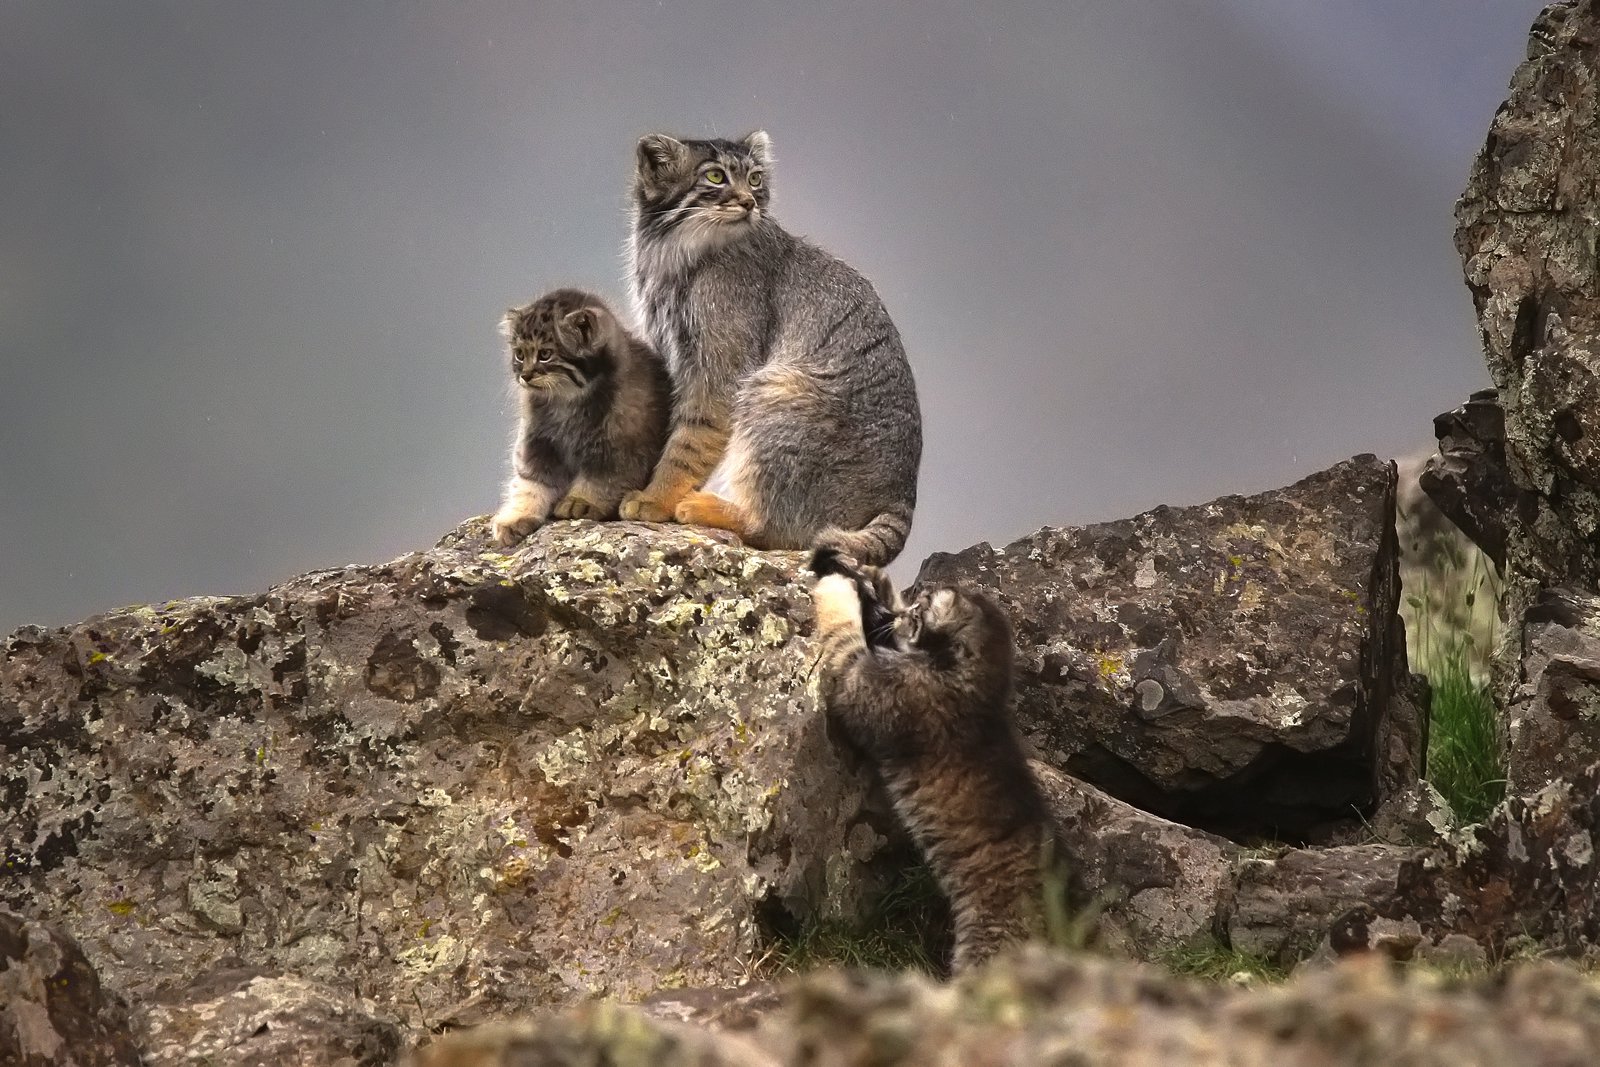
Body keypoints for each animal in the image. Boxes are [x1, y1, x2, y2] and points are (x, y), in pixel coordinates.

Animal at [483, 287, 665, 547]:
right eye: (519, 354)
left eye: (545, 354)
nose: (525, 375)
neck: (566, 404)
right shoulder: (537, 443)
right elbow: (529, 483)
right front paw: (517, 515)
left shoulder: (619, 450)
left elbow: (602, 481)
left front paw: (582, 501)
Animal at [624, 132, 928, 566]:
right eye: (715, 176)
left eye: (755, 179)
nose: (749, 202)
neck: (673, 251)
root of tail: (901, 496)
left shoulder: (721, 366)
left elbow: (690, 439)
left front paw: (656, 498)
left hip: (775, 388)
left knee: (775, 531)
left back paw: (711, 509)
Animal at [812, 550, 1062, 979]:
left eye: (918, 614)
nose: (898, 615)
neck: (975, 689)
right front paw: (876, 580)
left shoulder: (875, 686)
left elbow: (845, 642)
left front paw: (837, 589)